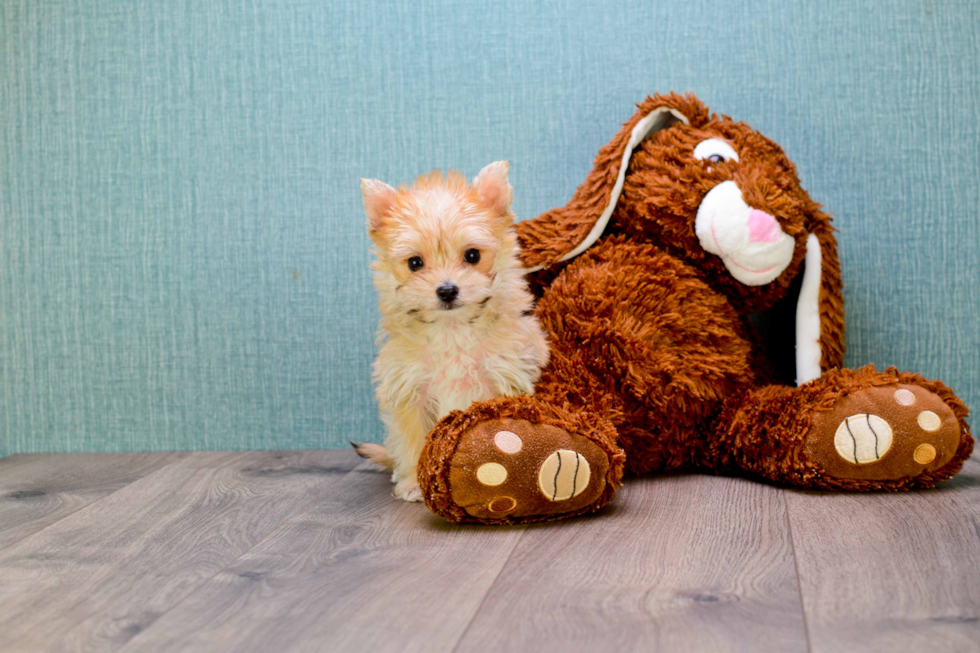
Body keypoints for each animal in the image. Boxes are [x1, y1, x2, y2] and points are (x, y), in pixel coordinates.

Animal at [354, 162, 552, 500]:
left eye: (472, 256)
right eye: (415, 263)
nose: (447, 290)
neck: (452, 328)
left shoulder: (505, 380)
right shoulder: (410, 392)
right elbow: (413, 440)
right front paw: (413, 482)